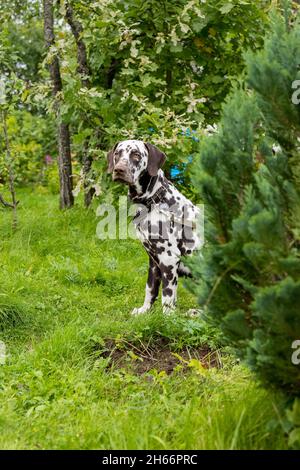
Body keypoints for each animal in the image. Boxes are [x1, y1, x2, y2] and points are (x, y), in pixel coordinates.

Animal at [106, 140, 200, 316]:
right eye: (117, 154)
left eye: (136, 155)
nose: (119, 169)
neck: (154, 201)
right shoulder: (153, 261)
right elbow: (150, 289)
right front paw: (144, 311)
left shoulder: (169, 259)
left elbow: (167, 296)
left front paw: (168, 318)